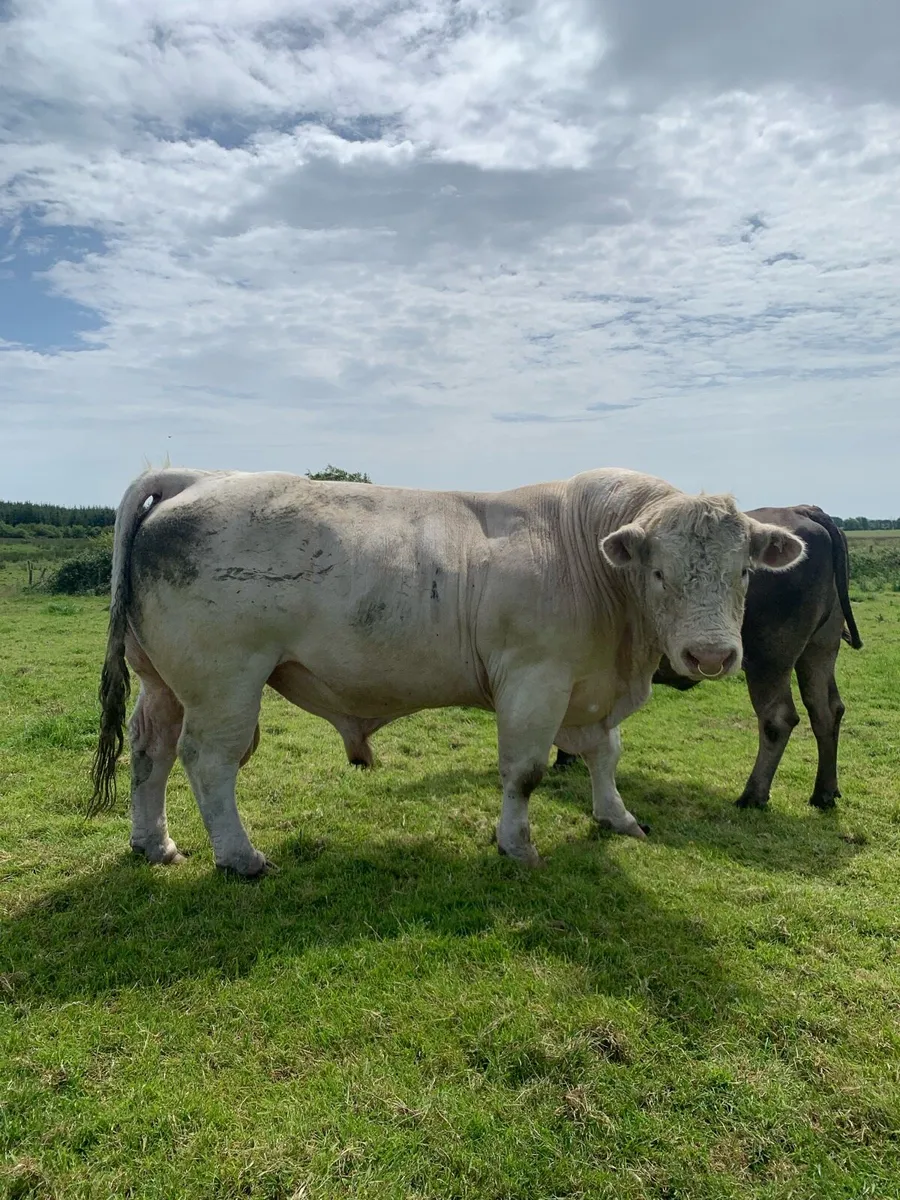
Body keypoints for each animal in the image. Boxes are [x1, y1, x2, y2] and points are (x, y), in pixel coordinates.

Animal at [91, 467, 805, 876]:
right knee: (210, 761)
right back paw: (240, 857)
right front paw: (517, 847)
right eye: (659, 572)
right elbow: (526, 771)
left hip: (163, 681)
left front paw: (617, 817)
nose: (711, 656)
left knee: (150, 752)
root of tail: (196, 478)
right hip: (225, 680)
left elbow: (606, 754)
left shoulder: (589, 687)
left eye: (745, 570)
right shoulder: (535, 680)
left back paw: (154, 844)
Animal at [552, 505, 861, 811]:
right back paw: (824, 793)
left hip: (770, 659)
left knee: (777, 719)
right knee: (825, 710)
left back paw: (753, 795)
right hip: (819, 651)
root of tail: (801, 510)